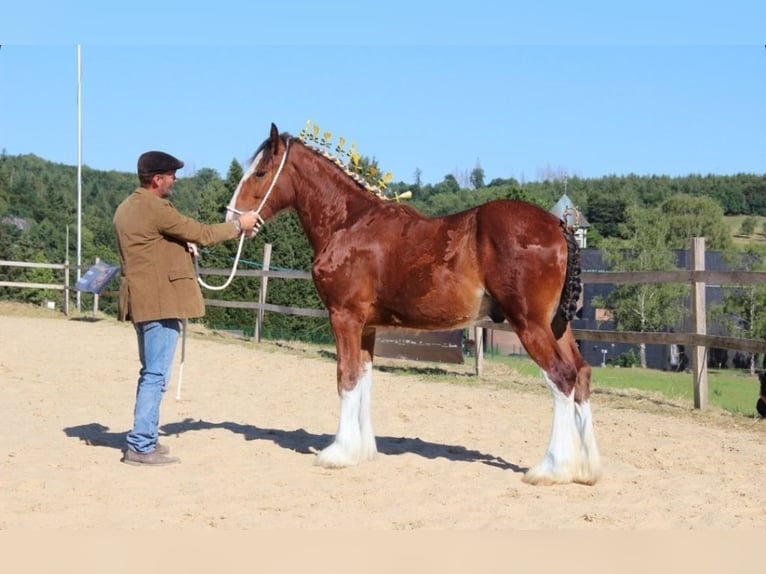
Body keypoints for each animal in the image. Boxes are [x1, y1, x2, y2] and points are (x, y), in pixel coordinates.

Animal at [225, 123, 601, 485]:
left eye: (260, 172)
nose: (232, 218)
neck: (348, 222)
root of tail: (558, 224)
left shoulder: (344, 317)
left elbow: (346, 376)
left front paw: (338, 453)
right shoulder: (367, 326)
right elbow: (364, 378)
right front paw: (362, 450)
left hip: (530, 324)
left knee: (561, 377)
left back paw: (551, 469)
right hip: (557, 325)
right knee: (581, 374)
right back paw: (587, 470)